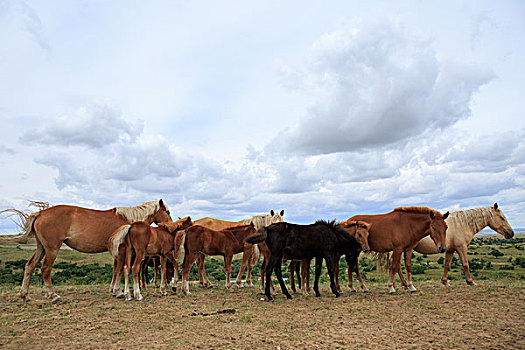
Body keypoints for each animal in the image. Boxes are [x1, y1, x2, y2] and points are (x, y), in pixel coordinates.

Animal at [1, 200, 171, 304]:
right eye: (167, 212)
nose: (170, 225)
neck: (127, 222)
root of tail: (41, 213)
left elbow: (115, 269)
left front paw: (113, 290)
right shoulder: (122, 249)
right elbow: (118, 269)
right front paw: (119, 291)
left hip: (41, 248)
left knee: (29, 266)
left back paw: (25, 295)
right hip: (51, 249)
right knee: (45, 269)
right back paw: (53, 295)